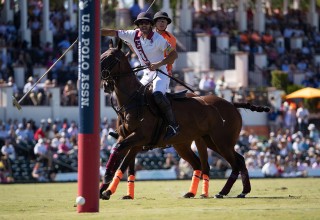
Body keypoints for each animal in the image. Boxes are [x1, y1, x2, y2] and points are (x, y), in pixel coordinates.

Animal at [100, 39, 270, 199]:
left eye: (110, 57)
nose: (105, 83)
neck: (133, 101)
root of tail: (232, 103)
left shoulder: (139, 138)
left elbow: (121, 156)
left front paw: (106, 181)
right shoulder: (128, 138)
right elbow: (123, 160)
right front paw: (106, 189)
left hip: (222, 141)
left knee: (233, 164)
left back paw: (222, 192)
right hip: (205, 141)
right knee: (233, 160)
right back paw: (240, 190)